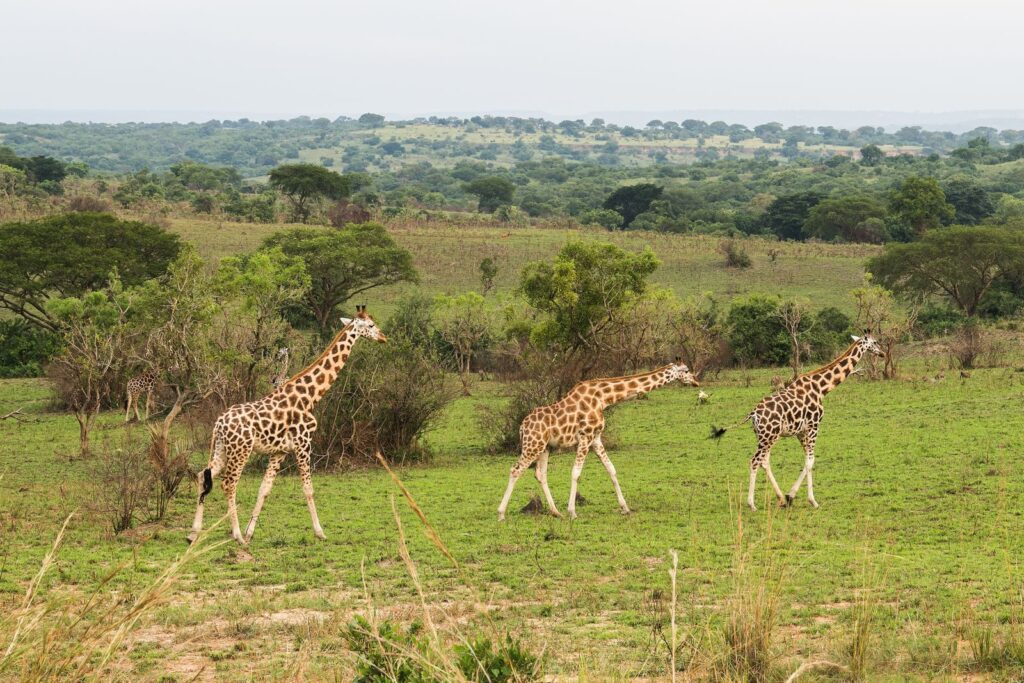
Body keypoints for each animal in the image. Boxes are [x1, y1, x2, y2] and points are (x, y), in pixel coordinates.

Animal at [187, 306, 387, 545]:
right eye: (371, 325)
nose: (383, 338)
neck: (310, 396)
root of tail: (219, 423)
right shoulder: (303, 444)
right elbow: (308, 488)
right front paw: (320, 532)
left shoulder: (280, 451)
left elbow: (264, 488)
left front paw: (250, 531)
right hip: (240, 451)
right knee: (229, 484)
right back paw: (236, 536)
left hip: (222, 449)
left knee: (202, 475)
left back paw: (194, 533)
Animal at [497, 359, 700, 521]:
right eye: (687, 370)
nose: (696, 382)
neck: (604, 398)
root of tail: (522, 427)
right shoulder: (585, 438)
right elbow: (576, 473)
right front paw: (572, 512)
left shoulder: (596, 439)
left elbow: (611, 469)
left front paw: (625, 508)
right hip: (532, 445)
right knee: (515, 470)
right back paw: (501, 514)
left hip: (544, 447)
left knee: (540, 474)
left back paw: (556, 512)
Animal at [711, 334, 884, 511]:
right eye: (875, 342)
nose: (882, 353)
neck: (822, 389)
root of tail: (753, 414)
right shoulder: (814, 426)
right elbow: (810, 461)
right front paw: (811, 500)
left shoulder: (801, 431)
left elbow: (807, 460)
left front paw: (790, 496)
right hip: (769, 436)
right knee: (754, 461)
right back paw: (752, 504)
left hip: (765, 436)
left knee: (764, 461)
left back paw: (780, 498)